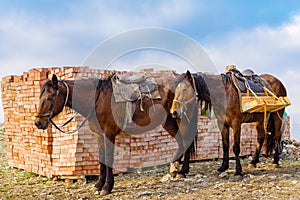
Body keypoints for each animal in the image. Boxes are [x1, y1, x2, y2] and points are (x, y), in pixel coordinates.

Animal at [34, 73, 197, 195]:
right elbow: (101, 160)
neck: (97, 100)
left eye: (49, 97)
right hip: (169, 121)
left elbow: (109, 159)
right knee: (181, 142)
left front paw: (107, 187)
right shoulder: (99, 136)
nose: (38, 123)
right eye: (40, 97)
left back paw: (182, 171)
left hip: (180, 120)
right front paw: (98, 185)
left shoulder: (109, 134)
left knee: (186, 141)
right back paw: (175, 170)